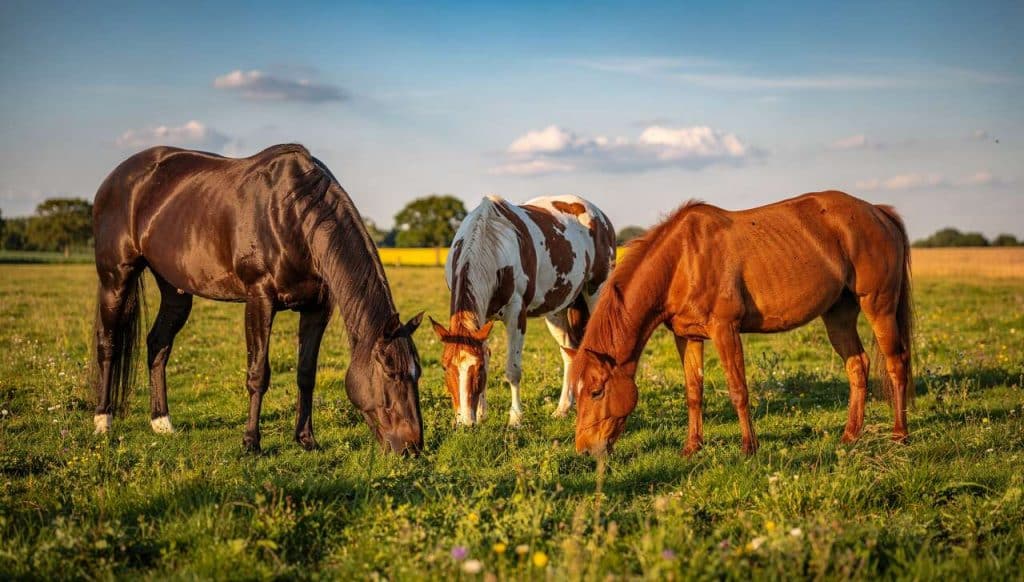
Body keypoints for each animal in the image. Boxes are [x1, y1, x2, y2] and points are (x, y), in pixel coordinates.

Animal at [90, 143, 425, 454]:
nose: (412, 448)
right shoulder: (259, 300)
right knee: (109, 344)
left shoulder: (317, 308)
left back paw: (161, 422)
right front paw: (251, 442)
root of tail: (115, 179)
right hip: (115, 279)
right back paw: (103, 421)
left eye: (417, 373)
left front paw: (306, 439)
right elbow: (258, 374)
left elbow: (306, 374)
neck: (292, 213)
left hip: (176, 291)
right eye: (390, 372)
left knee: (158, 344)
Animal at [429, 195, 615, 427]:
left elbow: (513, 370)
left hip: (596, 293)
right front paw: (481, 414)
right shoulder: (483, 320)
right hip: (557, 310)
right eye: (445, 367)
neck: (490, 239)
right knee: (570, 352)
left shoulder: (516, 314)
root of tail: (599, 215)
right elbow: (487, 355)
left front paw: (515, 418)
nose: (465, 422)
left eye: (477, 369)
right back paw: (562, 409)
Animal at [570, 191, 914, 457]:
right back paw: (850, 435)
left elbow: (738, 390)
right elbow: (693, 393)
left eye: (597, 391)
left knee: (896, 363)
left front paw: (749, 447)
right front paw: (692, 447)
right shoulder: (688, 337)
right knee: (857, 365)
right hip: (838, 315)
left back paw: (900, 435)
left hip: (878, 305)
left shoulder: (725, 330)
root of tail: (878, 212)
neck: (683, 260)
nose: (585, 450)